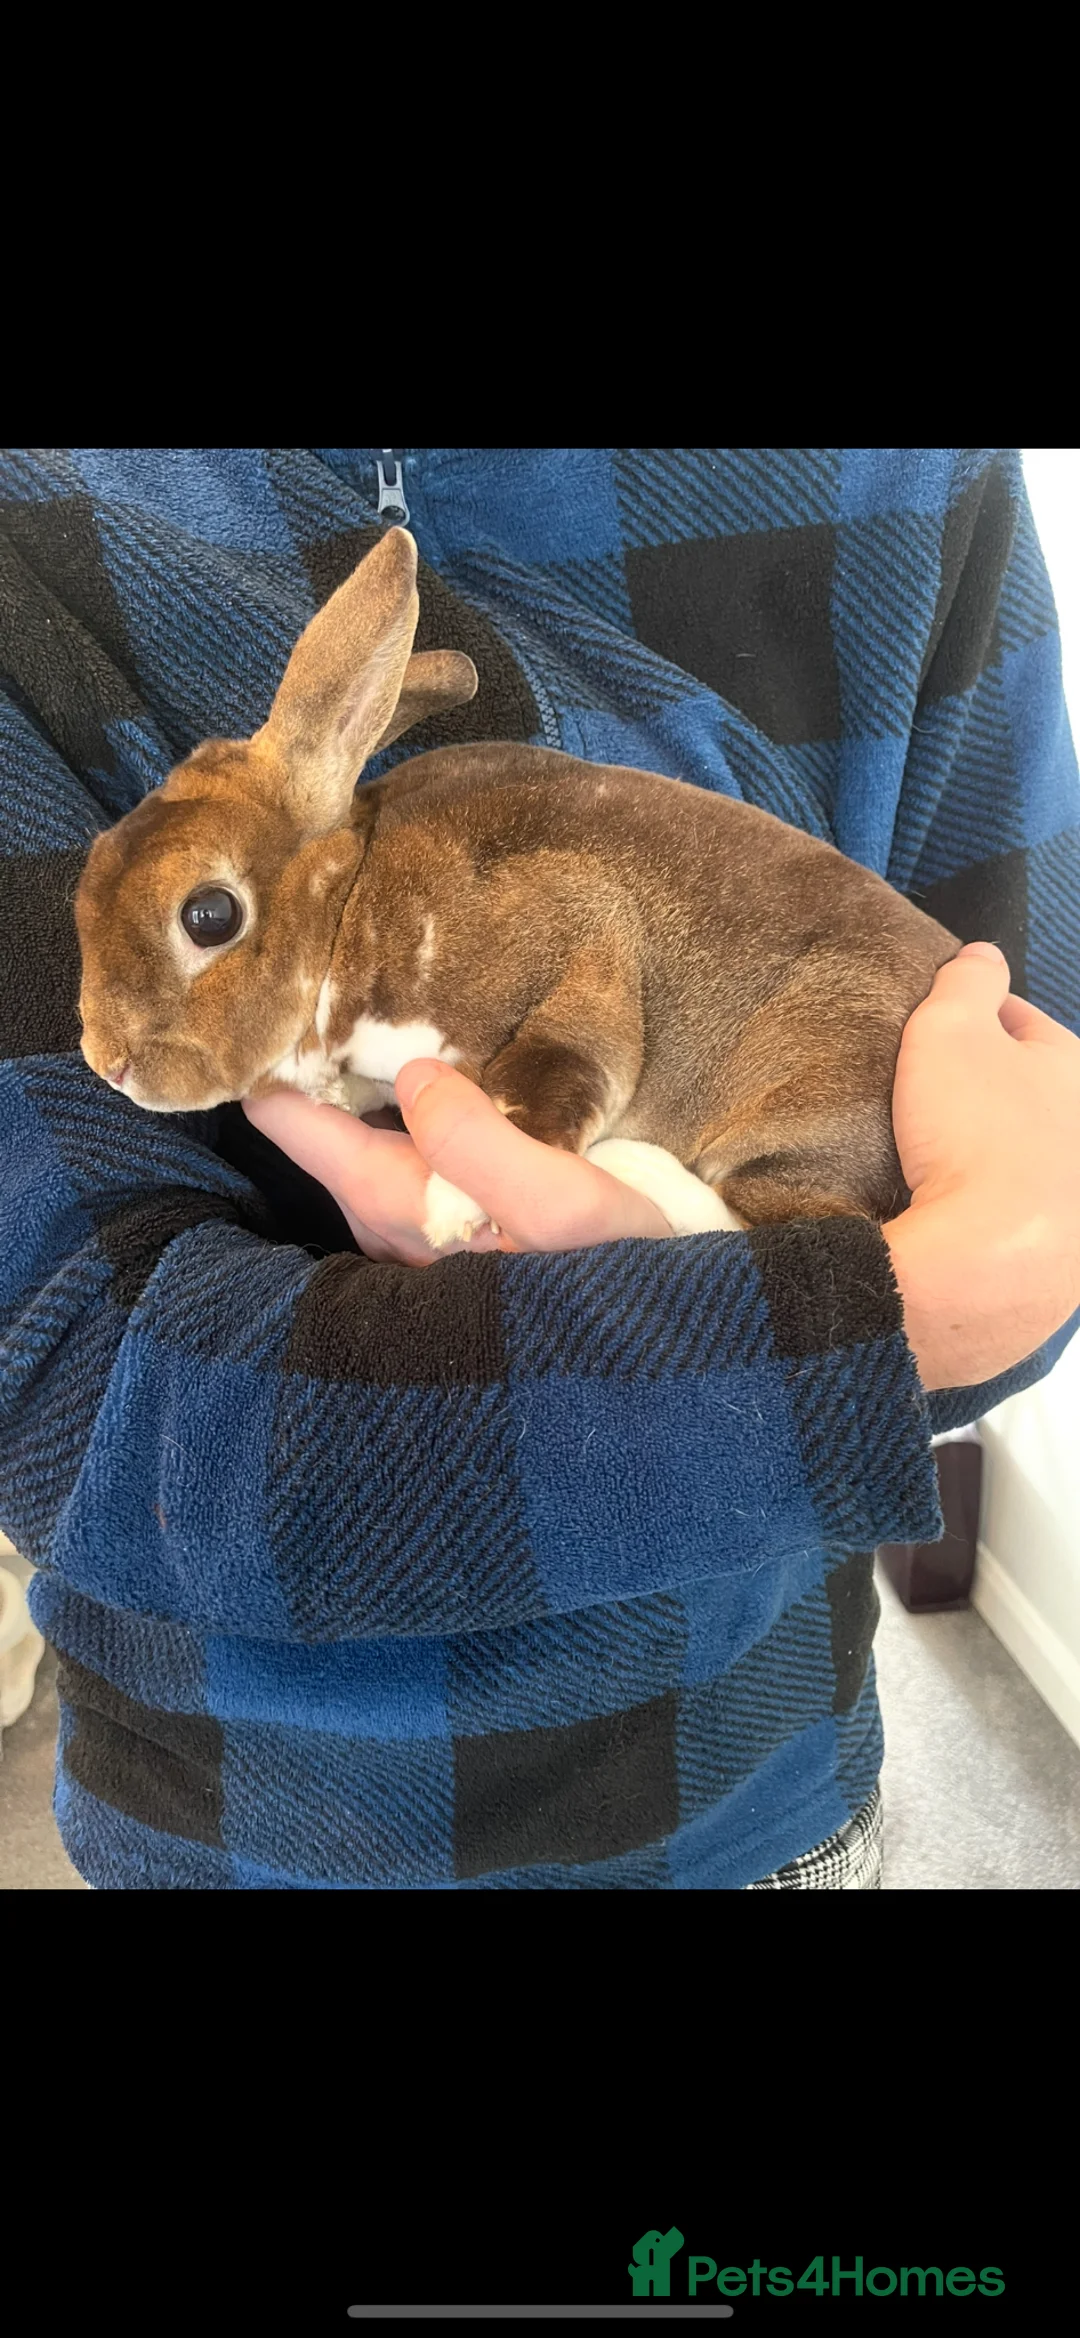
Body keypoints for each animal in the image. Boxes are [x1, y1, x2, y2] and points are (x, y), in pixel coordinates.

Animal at [75, 525, 961, 1250]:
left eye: (209, 915)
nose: (107, 1063)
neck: (348, 906)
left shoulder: (580, 943)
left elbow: (549, 1078)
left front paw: (451, 1205)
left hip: (809, 1087)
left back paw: (629, 1164)